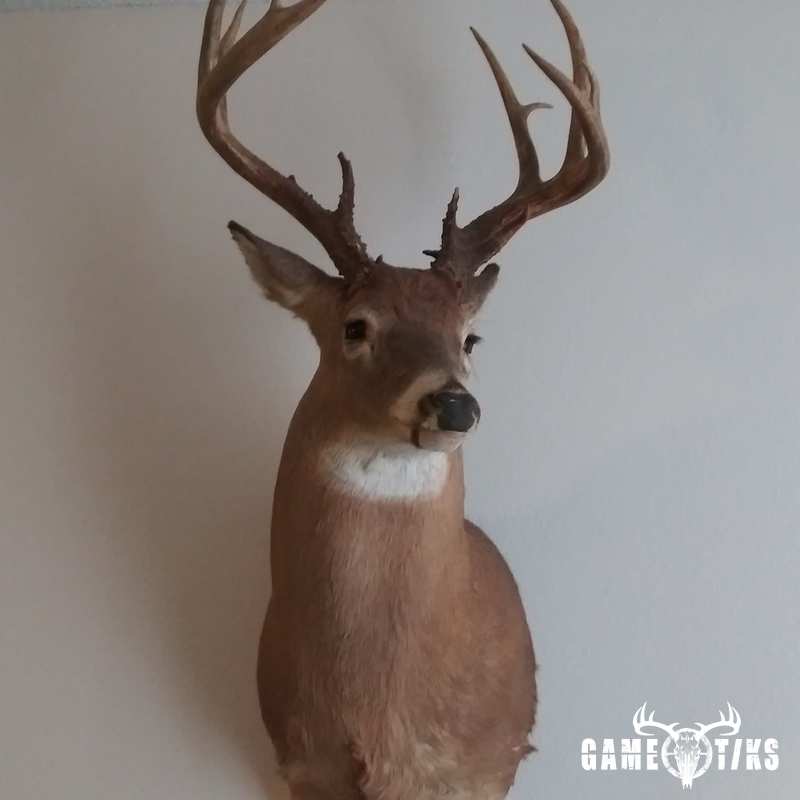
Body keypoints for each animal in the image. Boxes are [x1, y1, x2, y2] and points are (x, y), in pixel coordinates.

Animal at [196, 1, 609, 798]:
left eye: (469, 337)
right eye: (356, 325)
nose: (454, 406)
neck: (383, 716)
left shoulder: (486, 765)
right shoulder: (297, 769)